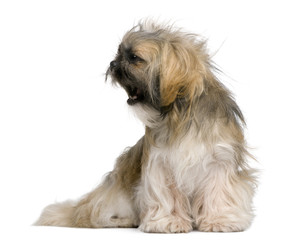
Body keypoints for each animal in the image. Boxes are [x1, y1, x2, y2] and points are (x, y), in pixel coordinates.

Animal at [35, 21, 258, 232]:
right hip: (114, 198)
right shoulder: (161, 165)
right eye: (118, 53)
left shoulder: (219, 161)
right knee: (96, 217)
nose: (113, 63)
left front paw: (220, 219)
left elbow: (219, 193)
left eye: (134, 57)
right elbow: (167, 196)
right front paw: (168, 221)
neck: (180, 115)